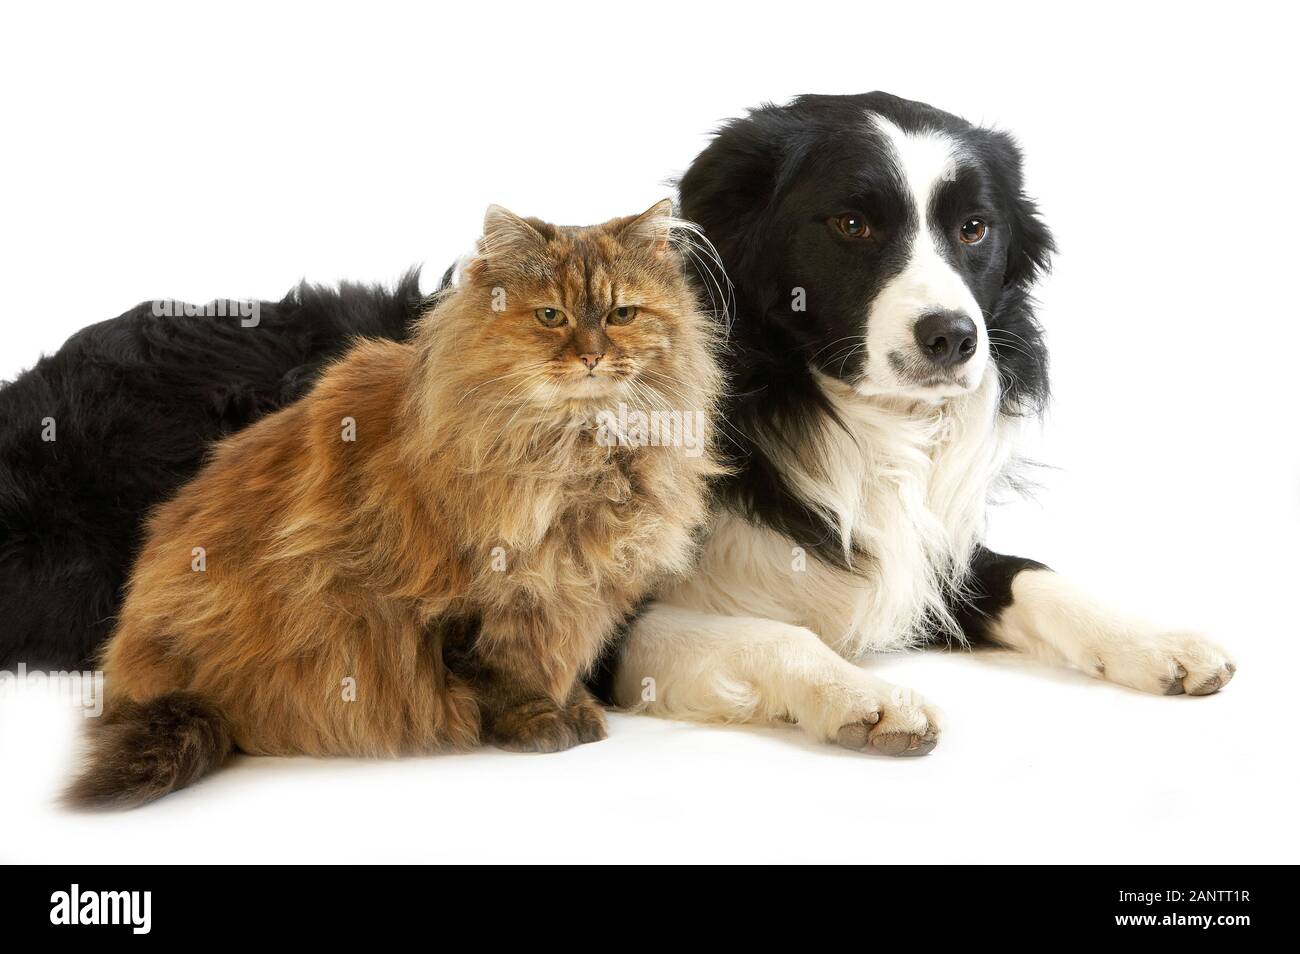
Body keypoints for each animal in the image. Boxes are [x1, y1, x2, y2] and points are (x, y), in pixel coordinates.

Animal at [68, 200, 722, 805]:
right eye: (549, 316)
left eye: (621, 315)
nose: (591, 355)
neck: (578, 456)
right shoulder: (475, 600)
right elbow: (508, 675)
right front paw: (540, 722)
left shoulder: (578, 593)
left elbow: (560, 659)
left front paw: (579, 707)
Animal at [603, 93, 1232, 759]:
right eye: (852, 224)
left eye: (974, 228)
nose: (952, 337)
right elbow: (775, 634)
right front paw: (867, 697)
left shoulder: (930, 552)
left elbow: (1031, 574)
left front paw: (1156, 641)